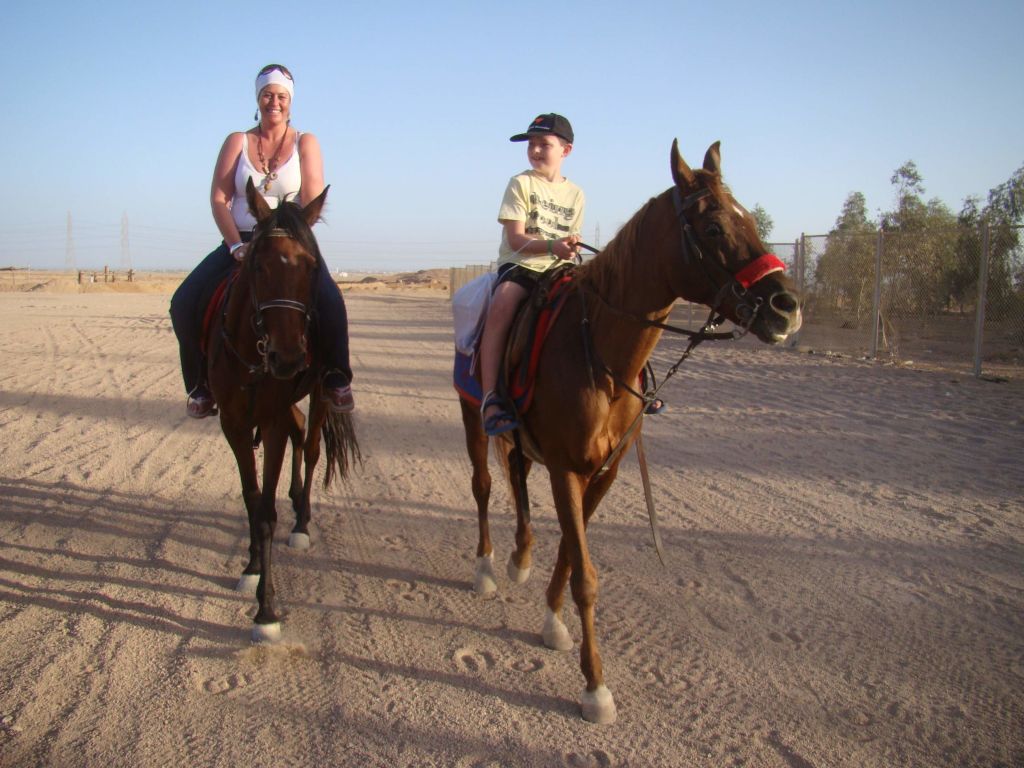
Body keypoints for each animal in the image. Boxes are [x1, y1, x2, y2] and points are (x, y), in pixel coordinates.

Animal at [205, 180, 358, 643]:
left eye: (311, 266)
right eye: (256, 265)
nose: (289, 357)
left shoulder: (268, 423)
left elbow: (267, 513)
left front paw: (267, 611)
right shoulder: (234, 424)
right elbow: (251, 499)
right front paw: (253, 566)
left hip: (322, 394)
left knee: (309, 447)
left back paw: (302, 522)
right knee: (299, 428)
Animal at [460, 141, 802, 724]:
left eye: (751, 222)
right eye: (713, 227)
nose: (787, 308)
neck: (598, 353)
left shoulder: (604, 473)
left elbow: (571, 554)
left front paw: (552, 622)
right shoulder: (567, 470)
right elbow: (586, 576)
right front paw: (595, 687)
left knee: (516, 478)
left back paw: (519, 557)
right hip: (473, 419)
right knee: (484, 486)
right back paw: (485, 567)